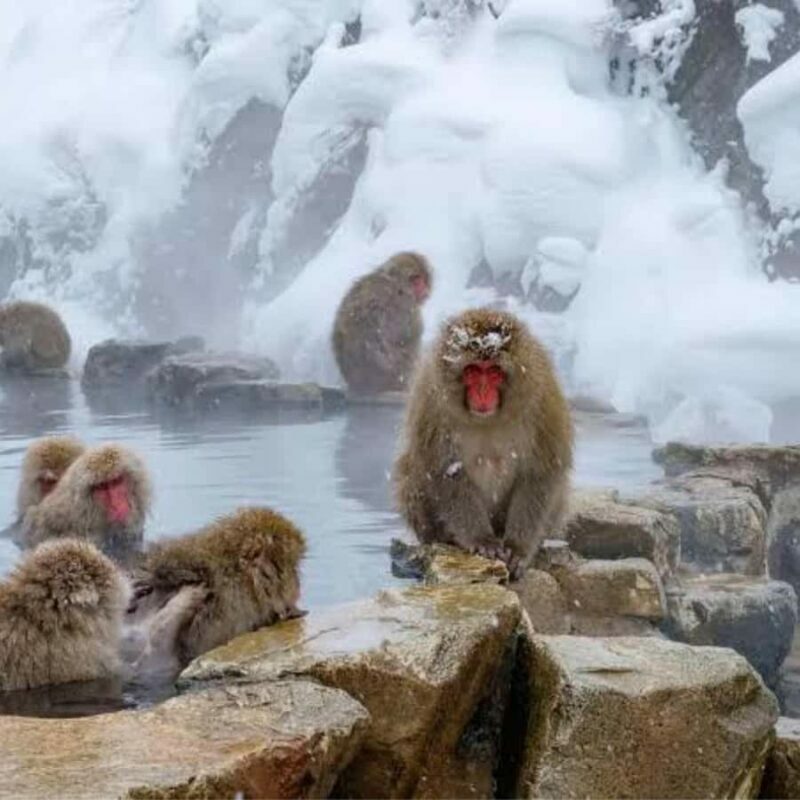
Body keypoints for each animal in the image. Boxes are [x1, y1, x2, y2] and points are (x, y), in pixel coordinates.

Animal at [332, 251, 432, 394]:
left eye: (423, 278)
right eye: (415, 279)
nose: (424, 288)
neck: (396, 284)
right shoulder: (405, 306)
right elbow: (406, 335)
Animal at [393, 308, 574, 579]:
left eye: (494, 372)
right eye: (473, 371)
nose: (481, 392)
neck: (491, 418)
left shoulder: (543, 400)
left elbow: (540, 473)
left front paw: (518, 548)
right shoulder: (431, 402)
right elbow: (444, 472)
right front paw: (482, 540)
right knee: (410, 470)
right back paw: (443, 537)